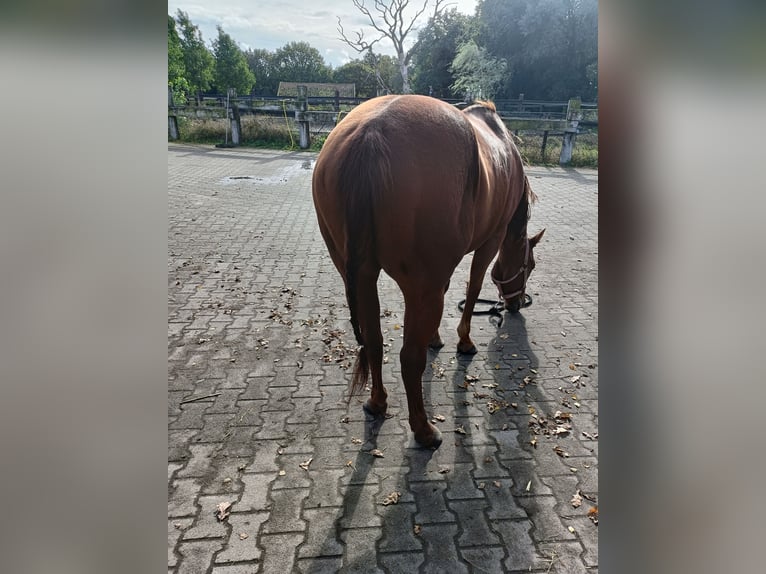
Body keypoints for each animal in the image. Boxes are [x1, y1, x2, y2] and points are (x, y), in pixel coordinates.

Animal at [314, 95, 544, 450]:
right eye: (529, 266)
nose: (516, 304)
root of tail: (370, 137)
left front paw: (435, 337)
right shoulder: (490, 242)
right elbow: (473, 287)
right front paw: (464, 340)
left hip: (362, 276)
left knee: (375, 340)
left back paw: (377, 403)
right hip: (419, 287)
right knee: (410, 358)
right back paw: (423, 430)